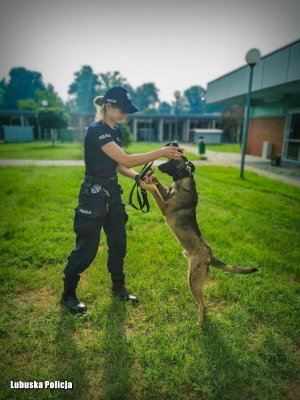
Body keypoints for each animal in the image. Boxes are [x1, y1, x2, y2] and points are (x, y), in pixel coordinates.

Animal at [141, 144, 258, 324]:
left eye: (171, 160)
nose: (158, 166)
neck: (182, 180)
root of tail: (211, 257)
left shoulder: (165, 208)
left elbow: (153, 190)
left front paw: (145, 184)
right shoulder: (166, 195)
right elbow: (158, 184)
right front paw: (150, 177)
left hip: (193, 280)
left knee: (203, 304)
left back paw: (199, 324)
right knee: (203, 303)